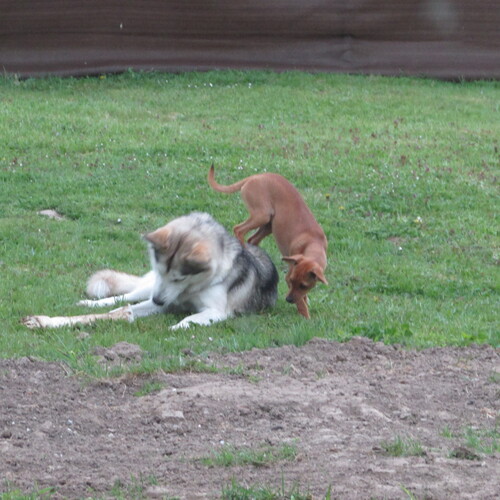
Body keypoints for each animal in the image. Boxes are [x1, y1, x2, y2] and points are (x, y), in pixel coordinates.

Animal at [22, 213, 278, 330]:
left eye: (179, 278)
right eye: (161, 272)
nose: (158, 301)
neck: (192, 289)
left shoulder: (216, 311)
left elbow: (190, 318)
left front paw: (178, 326)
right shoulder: (160, 294)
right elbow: (126, 308)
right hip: (146, 288)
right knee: (122, 297)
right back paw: (93, 304)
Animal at [207, 166, 328, 318]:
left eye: (303, 285)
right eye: (290, 281)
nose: (288, 299)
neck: (312, 242)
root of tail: (256, 176)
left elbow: (302, 296)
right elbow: (301, 300)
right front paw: (305, 315)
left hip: (268, 224)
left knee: (252, 239)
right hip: (262, 215)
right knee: (238, 229)